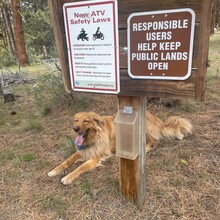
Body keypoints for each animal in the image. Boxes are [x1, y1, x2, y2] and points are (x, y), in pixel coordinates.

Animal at [47, 111, 192, 185]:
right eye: (76, 120)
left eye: (86, 121)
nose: (75, 128)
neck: (94, 136)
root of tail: (156, 118)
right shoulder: (83, 150)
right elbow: (67, 160)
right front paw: (54, 170)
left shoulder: (97, 156)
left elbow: (80, 167)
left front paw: (68, 177)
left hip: (142, 129)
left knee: (154, 142)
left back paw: (143, 149)